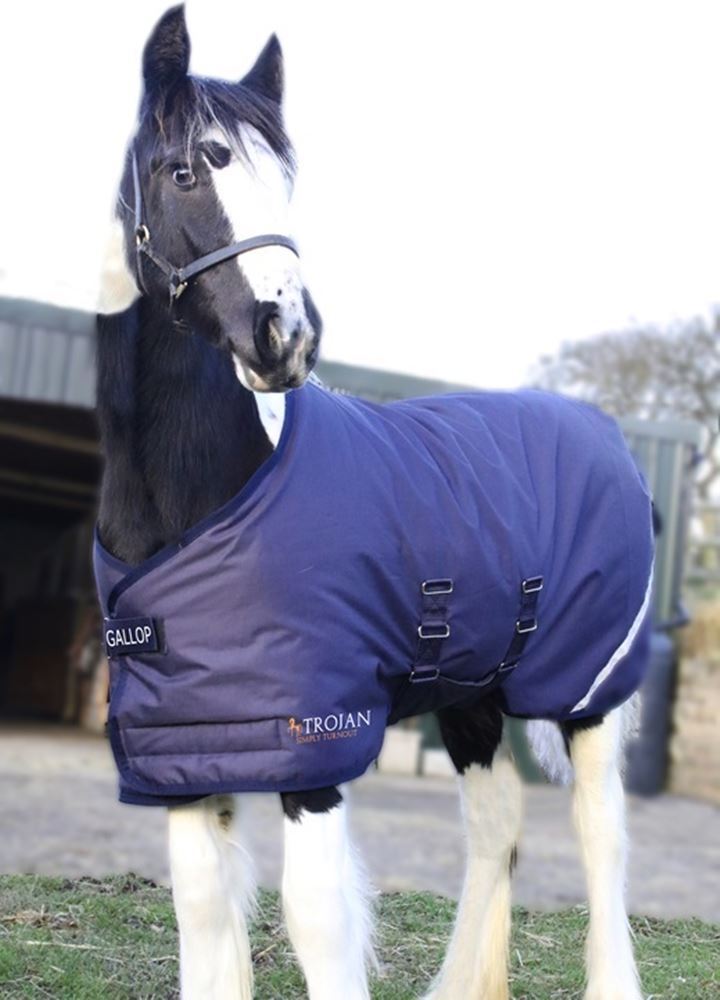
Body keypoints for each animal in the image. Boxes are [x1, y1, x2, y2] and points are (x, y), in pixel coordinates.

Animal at [95, 6, 651, 999]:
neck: (197, 502)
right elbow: (202, 910)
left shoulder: (314, 739)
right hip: (472, 692)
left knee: (601, 838)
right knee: (498, 824)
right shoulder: (185, 748)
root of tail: (604, 433)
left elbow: (316, 917)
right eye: (185, 170)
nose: (287, 335)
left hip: (586, 688)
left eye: (285, 178)